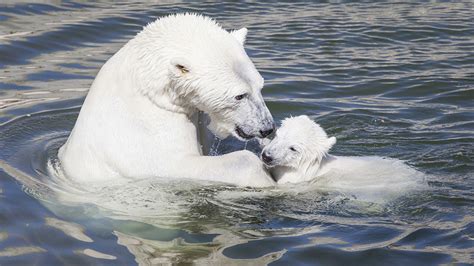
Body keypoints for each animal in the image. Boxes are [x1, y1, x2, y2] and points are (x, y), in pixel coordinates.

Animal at [58, 14, 274, 187]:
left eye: (260, 86)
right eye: (240, 95)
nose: (267, 128)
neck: (149, 88)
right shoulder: (143, 134)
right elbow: (176, 164)